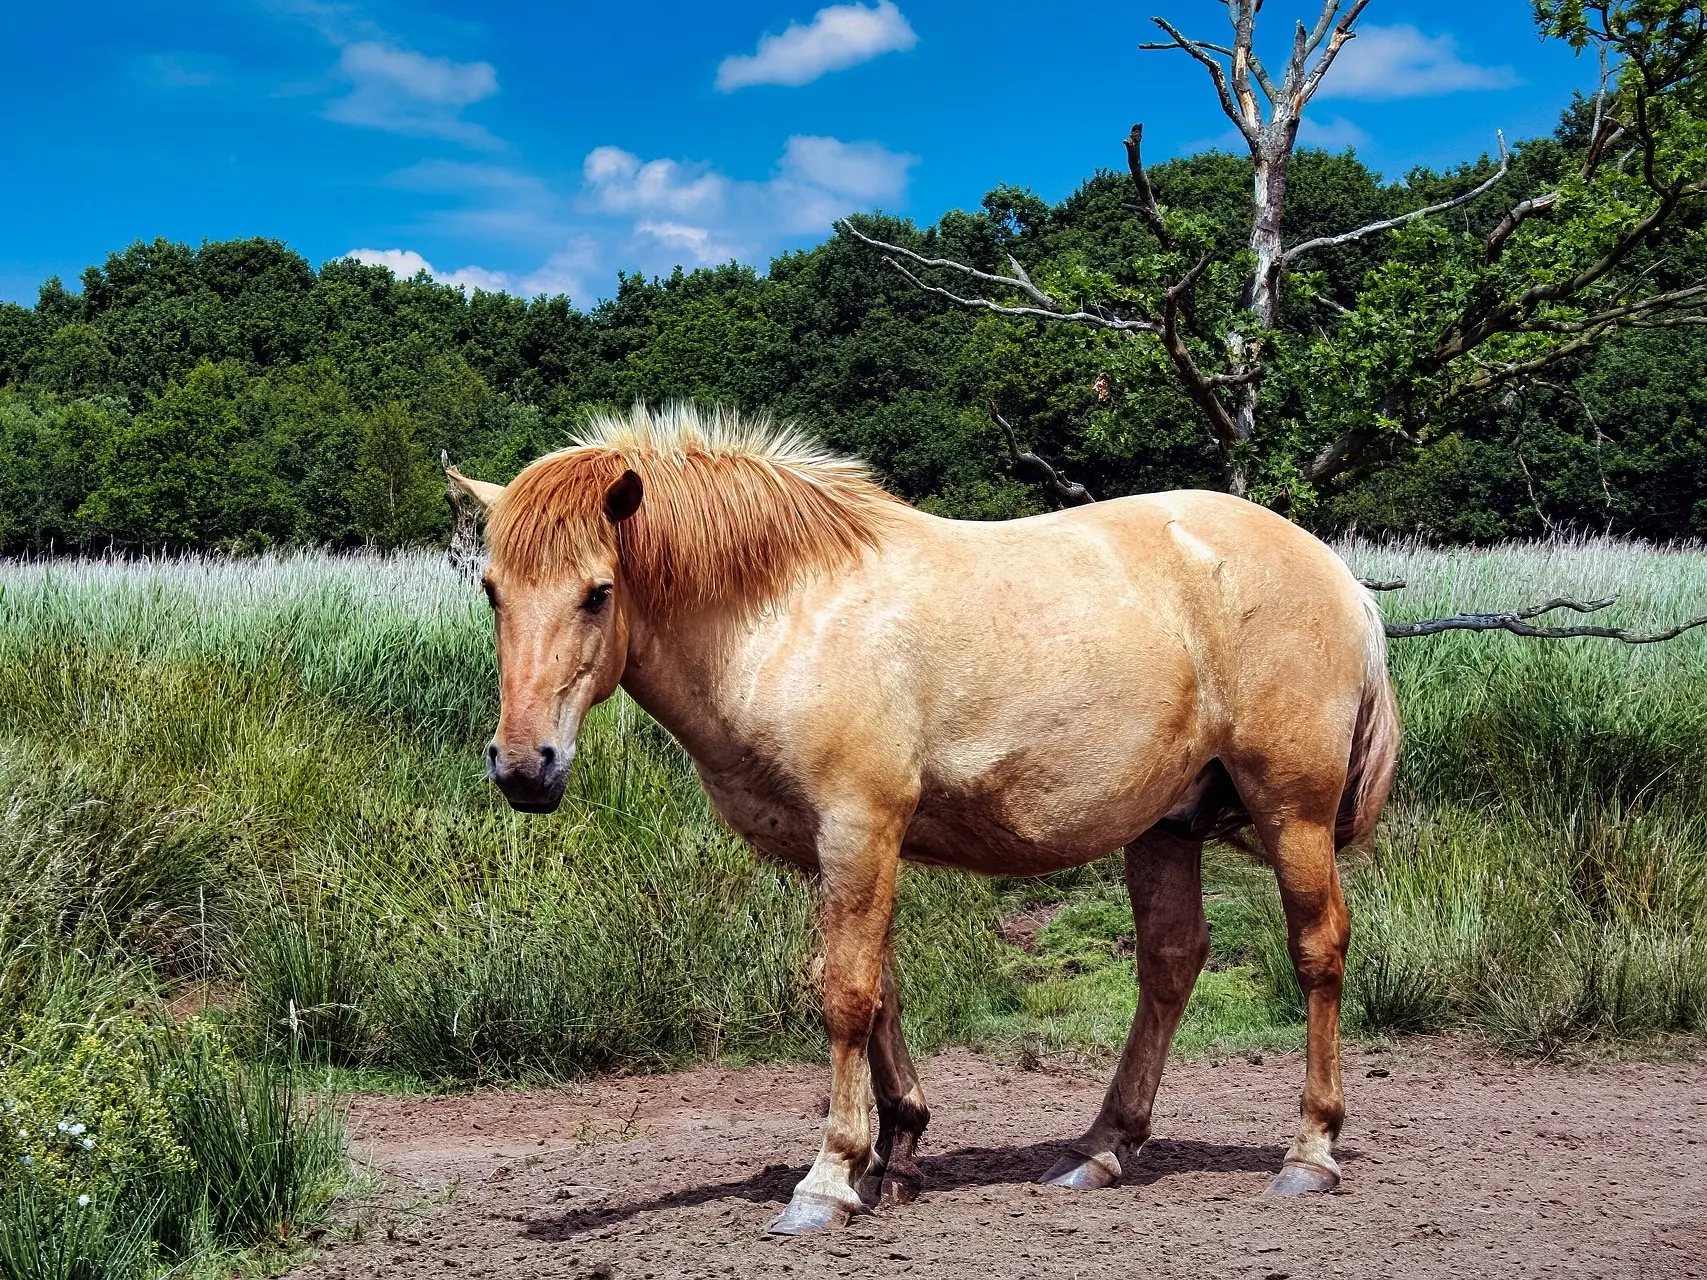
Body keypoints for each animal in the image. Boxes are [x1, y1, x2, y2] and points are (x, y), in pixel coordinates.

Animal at [450, 406, 1399, 1235]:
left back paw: (1309, 1153)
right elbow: (879, 990)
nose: (523, 766)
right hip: (1165, 827)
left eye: (597, 593)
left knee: (1317, 949)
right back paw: (1098, 1149)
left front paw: (829, 1179)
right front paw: (898, 1149)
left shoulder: (857, 827)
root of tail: (1337, 576)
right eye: (493, 591)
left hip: (1291, 810)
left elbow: (844, 994)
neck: (790, 615)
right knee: (1169, 964)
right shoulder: (835, 848)